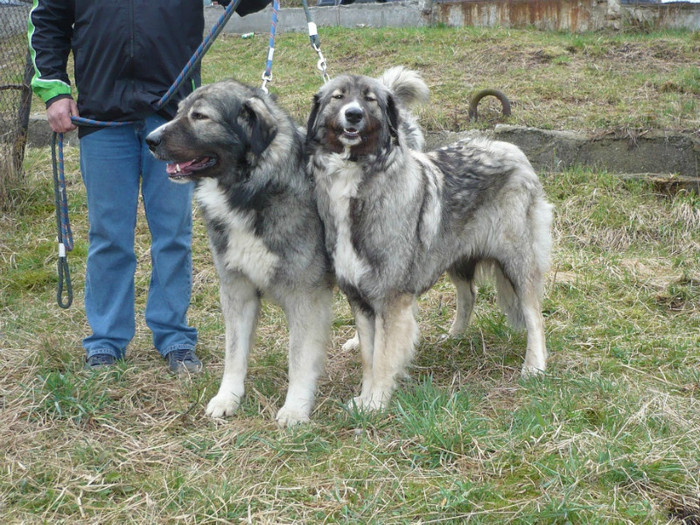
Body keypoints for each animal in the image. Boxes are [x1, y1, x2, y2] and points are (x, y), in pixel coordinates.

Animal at [148, 72, 426, 426]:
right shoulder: (237, 290)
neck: (256, 189)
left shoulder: (305, 296)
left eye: (200, 116)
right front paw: (227, 398)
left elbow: (300, 360)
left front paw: (295, 408)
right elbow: (234, 354)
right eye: (179, 111)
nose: (150, 140)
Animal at [306, 70, 552, 414]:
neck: (355, 180)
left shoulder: (391, 302)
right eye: (338, 97)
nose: (353, 115)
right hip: (455, 257)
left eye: (370, 99)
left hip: (517, 261)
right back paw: (454, 337)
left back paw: (534, 367)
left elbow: (383, 359)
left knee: (534, 315)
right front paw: (364, 399)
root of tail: (514, 151)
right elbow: (369, 357)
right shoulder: (361, 302)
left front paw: (376, 404)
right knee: (469, 295)